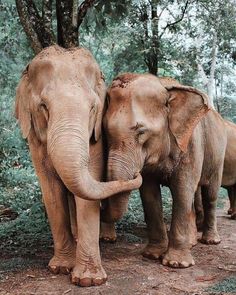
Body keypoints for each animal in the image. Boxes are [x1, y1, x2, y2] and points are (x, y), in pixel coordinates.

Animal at [14, 45, 142, 288]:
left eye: (93, 108)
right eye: (43, 106)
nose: (138, 173)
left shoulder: (96, 136)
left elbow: (88, 186)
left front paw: (89, 280)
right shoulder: (35, 141)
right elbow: (51, 191)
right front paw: (60, 268)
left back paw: (106, 238)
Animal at [101, 73, 227, 270]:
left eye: (141, 132)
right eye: (105, 131)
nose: (135, 173)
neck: (164, 86)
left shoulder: (190, 143)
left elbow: (182, 190)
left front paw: (177, 263)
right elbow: (149, 194)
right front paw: (152, 255)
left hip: (218, 154)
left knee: (210, 194)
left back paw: (210, 241)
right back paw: (192, 242)